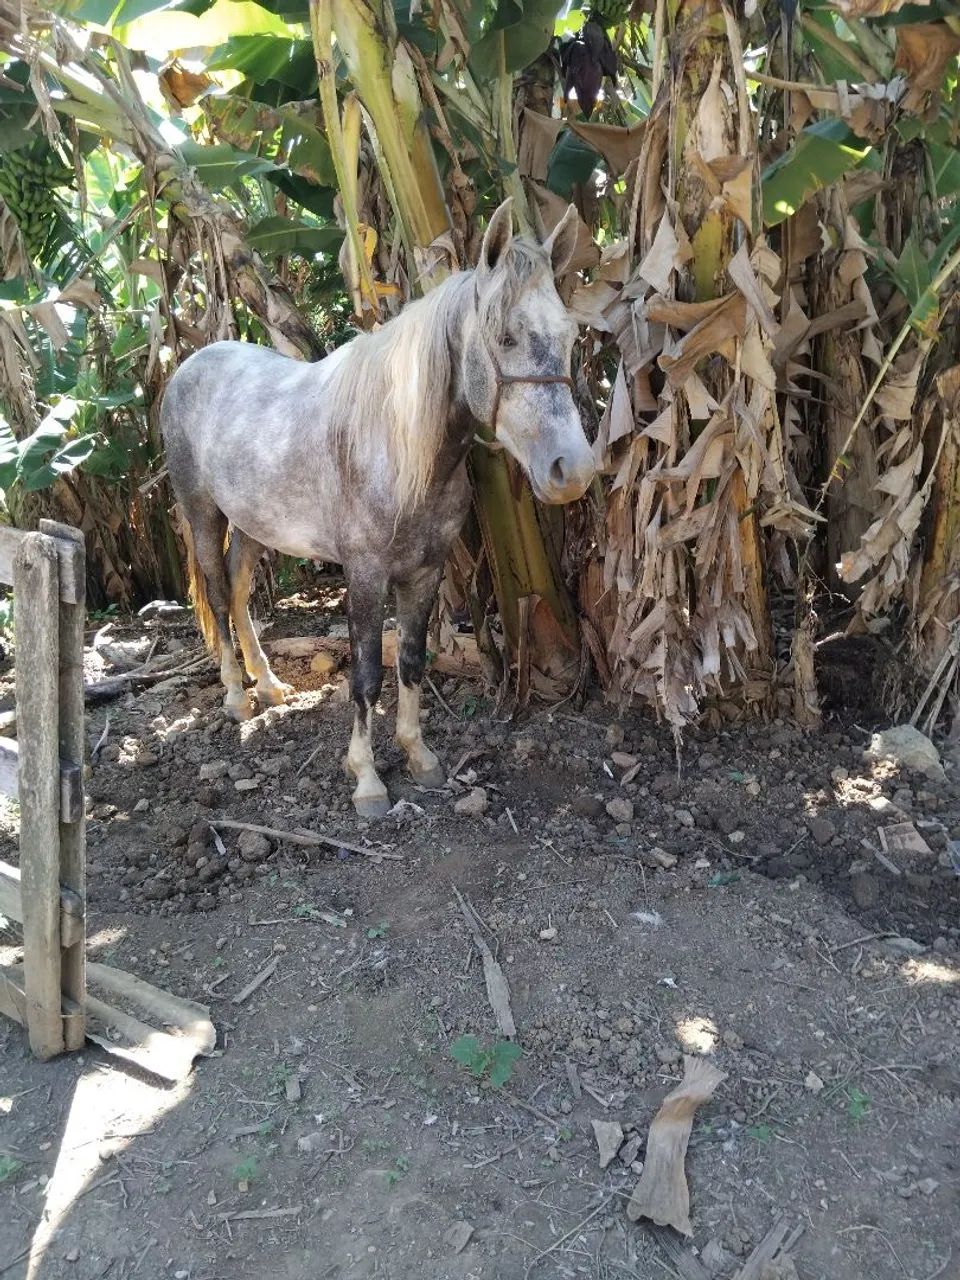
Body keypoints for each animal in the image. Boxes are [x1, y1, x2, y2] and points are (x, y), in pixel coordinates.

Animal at [161, 198, 596, 817]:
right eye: (505, 338)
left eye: (569, 334)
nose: (572, 470)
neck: (396, 446)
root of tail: (192, 362)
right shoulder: (365, 575)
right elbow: (366, 676)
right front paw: (366, 778)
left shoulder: (425, 571)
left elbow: (411, 662)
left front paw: (419, 756)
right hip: (203, 514)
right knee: (221, 597)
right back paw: (236, 698)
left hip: (254, 525)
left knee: (242, 594)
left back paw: (268, 685)